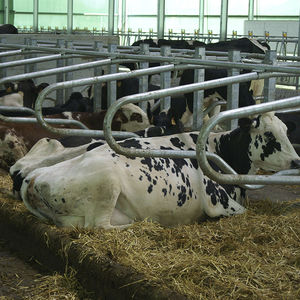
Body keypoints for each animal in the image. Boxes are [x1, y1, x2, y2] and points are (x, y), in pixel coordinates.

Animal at [18, 113, 300, 229]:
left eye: (287, 130)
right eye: (268, 134)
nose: (296, 161)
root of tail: (33, 178)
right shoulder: (218, 203)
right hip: (108, 184)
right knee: (98, 226)